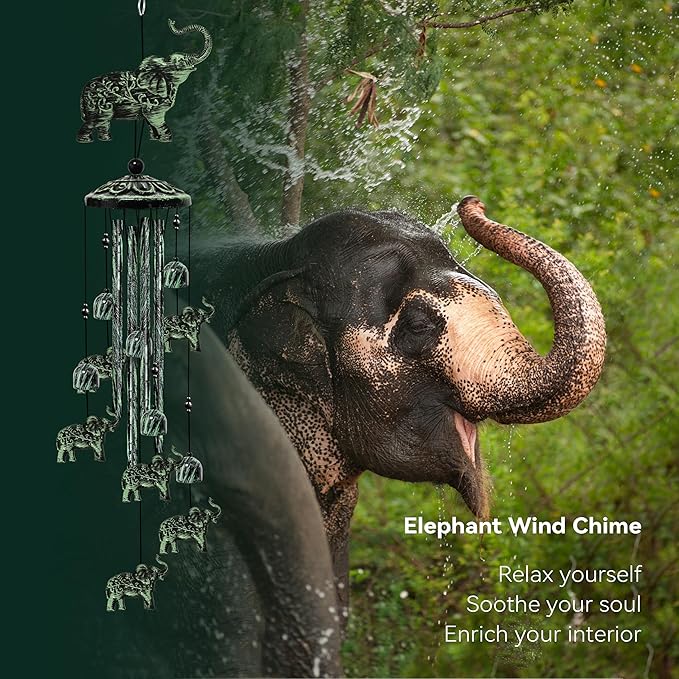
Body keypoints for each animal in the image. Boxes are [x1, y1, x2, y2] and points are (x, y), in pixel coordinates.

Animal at [77, 20, 211, 143]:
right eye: (181, 61)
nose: (172, 22)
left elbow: (150, 122)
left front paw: (155, 139)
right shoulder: (152, 101)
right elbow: (154, 118)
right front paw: (166, 140)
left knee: (103, 122)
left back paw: (106, 139)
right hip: (97, 105)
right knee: (94, 121)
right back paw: (85, 141)